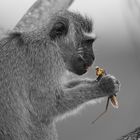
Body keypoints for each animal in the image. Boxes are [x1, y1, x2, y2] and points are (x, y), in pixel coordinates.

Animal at [0, 10, 120, 140]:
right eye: (86, 42)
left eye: (91, 42)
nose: (93, 57)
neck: (49, 41)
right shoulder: (47, 58)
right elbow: (46, 107)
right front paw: (103, 87)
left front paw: (95, 81)